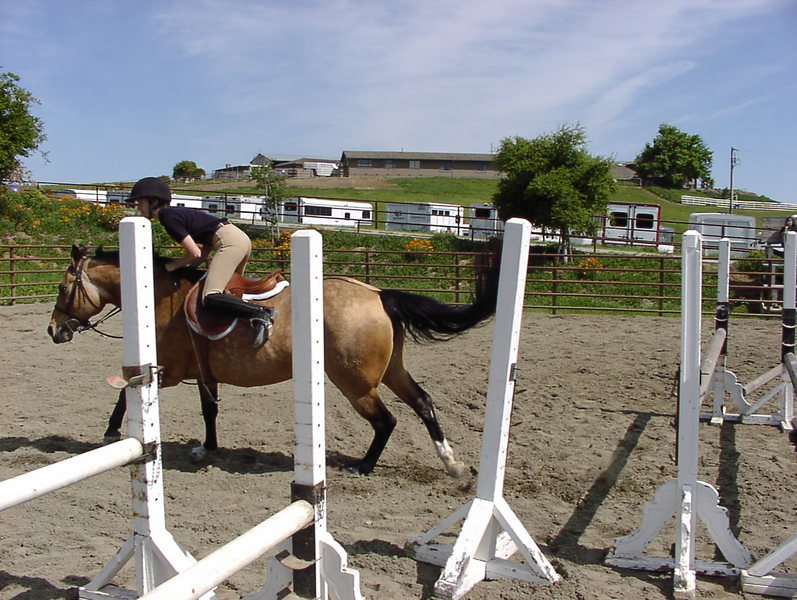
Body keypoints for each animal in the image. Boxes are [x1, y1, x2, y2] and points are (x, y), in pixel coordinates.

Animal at [47, 244, 499, 477]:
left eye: (63, 287)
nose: (54, 331)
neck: (158, 294)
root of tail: (378, 294)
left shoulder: (168, 372)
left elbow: (126, 393)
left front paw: (110, 432)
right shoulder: (202, 372)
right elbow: (209, 409)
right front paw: (206, 449)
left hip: (354, 381)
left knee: (386, 420)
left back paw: (364, 466)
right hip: (390, 370)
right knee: (423, 403)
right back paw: (452, 463)